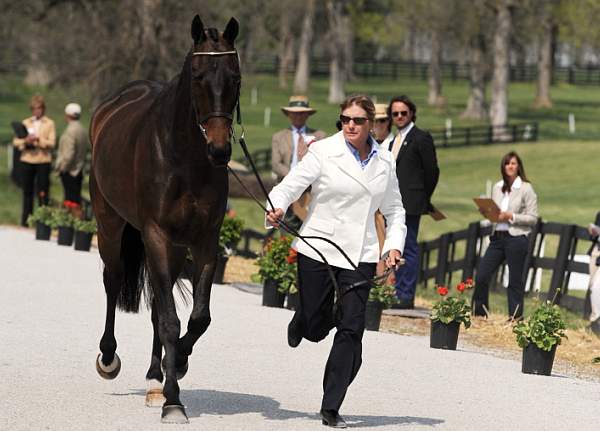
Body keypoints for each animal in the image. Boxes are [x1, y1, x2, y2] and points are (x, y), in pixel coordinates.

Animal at [89, 15, 239, 424]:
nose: (220, 150)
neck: (185, 158)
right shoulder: (155, 235)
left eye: (235, 77)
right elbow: (171, 321)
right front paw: (174, 401)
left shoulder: (204, 242)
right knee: (113, 280)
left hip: (170, 248)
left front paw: (178, 369)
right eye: (198, 76)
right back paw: (108, 358)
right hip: (111, 225)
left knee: (159, 303)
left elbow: (196, 318)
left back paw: (156, 380)